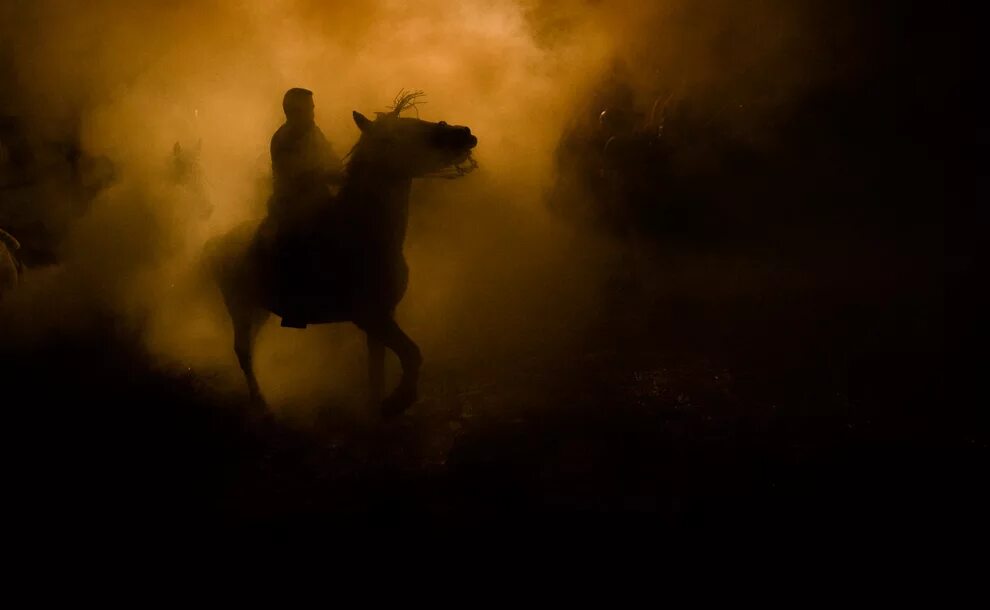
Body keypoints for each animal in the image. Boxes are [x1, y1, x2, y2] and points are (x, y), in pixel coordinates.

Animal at [205, 92, 476, 416]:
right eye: (402, 133)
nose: (465, 133)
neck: (362, 233)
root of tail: (218, 242)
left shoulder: (384, 316)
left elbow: (377, 370)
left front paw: (378, 408)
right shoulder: (369, 317)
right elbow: (412, 354)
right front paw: (397, 402)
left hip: (259, 309)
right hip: (240, 306)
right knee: (243, 352)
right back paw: (263, 408)